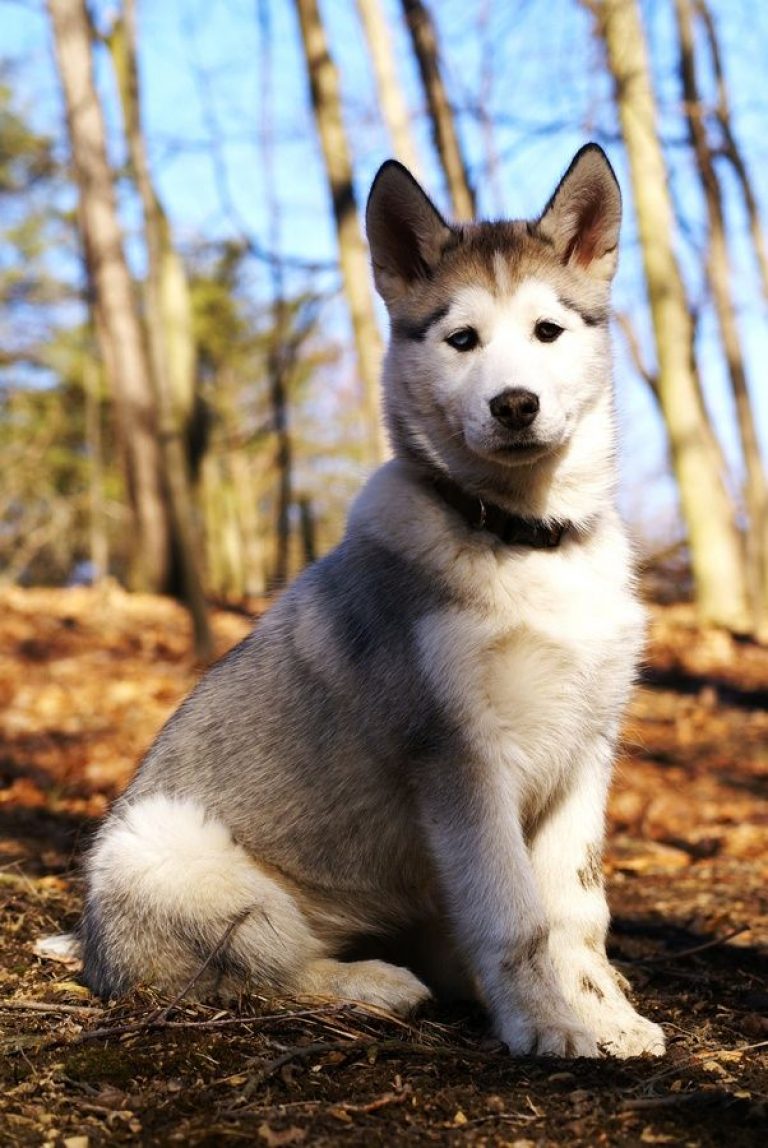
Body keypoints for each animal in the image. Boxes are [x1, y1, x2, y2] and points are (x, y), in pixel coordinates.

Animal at [64, 143, 665, 1056]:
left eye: (548, 332)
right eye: (462, 340)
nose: (514, 404)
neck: (522, 537)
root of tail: (90, 946)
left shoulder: (586, 753)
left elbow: (577, 911)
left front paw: (605, 1018)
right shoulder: (459, 757)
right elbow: (516, 915)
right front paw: (548, 1025)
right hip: (165, 846)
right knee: (258, 968)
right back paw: (373, 983)